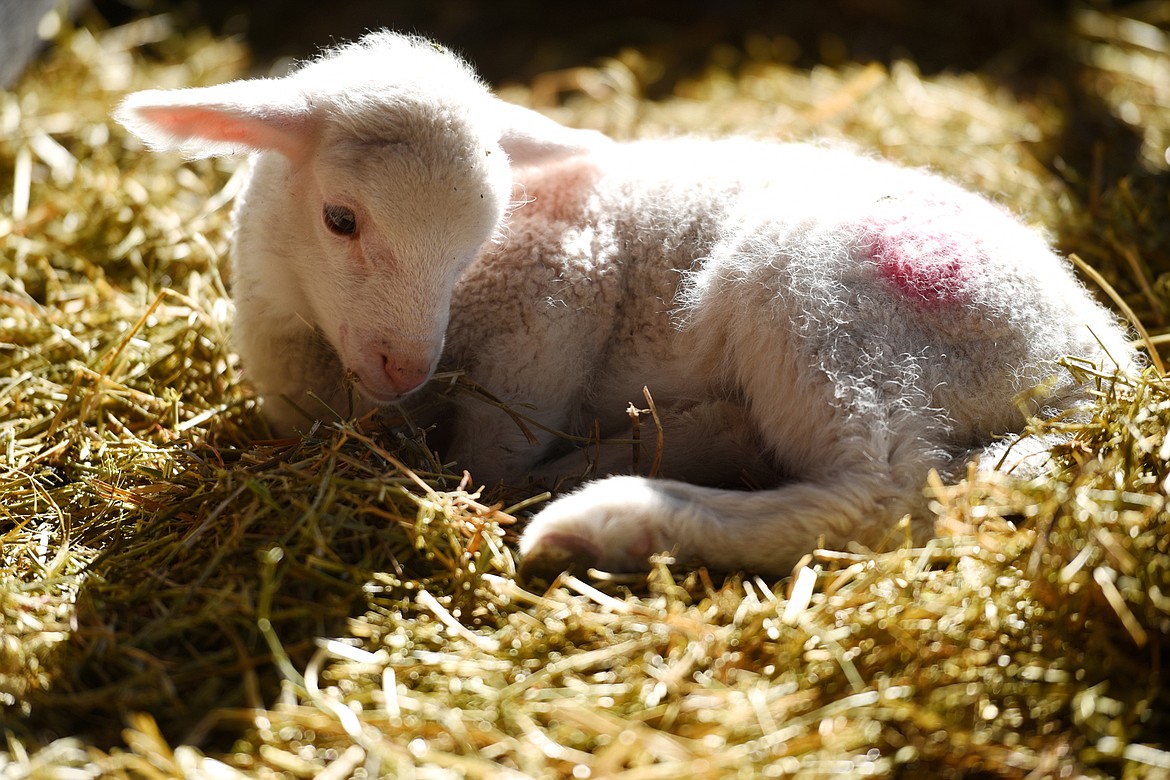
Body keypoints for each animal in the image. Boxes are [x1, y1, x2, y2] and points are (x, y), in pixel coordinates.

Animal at [114, 32, 1137, 580]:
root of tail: (1100, 366)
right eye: (341, 219)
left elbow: (493, 454)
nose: (405, 366)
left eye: (479, 236)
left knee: (879, 493)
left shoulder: (561, 291)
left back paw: (612, 512)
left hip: (825, 297)